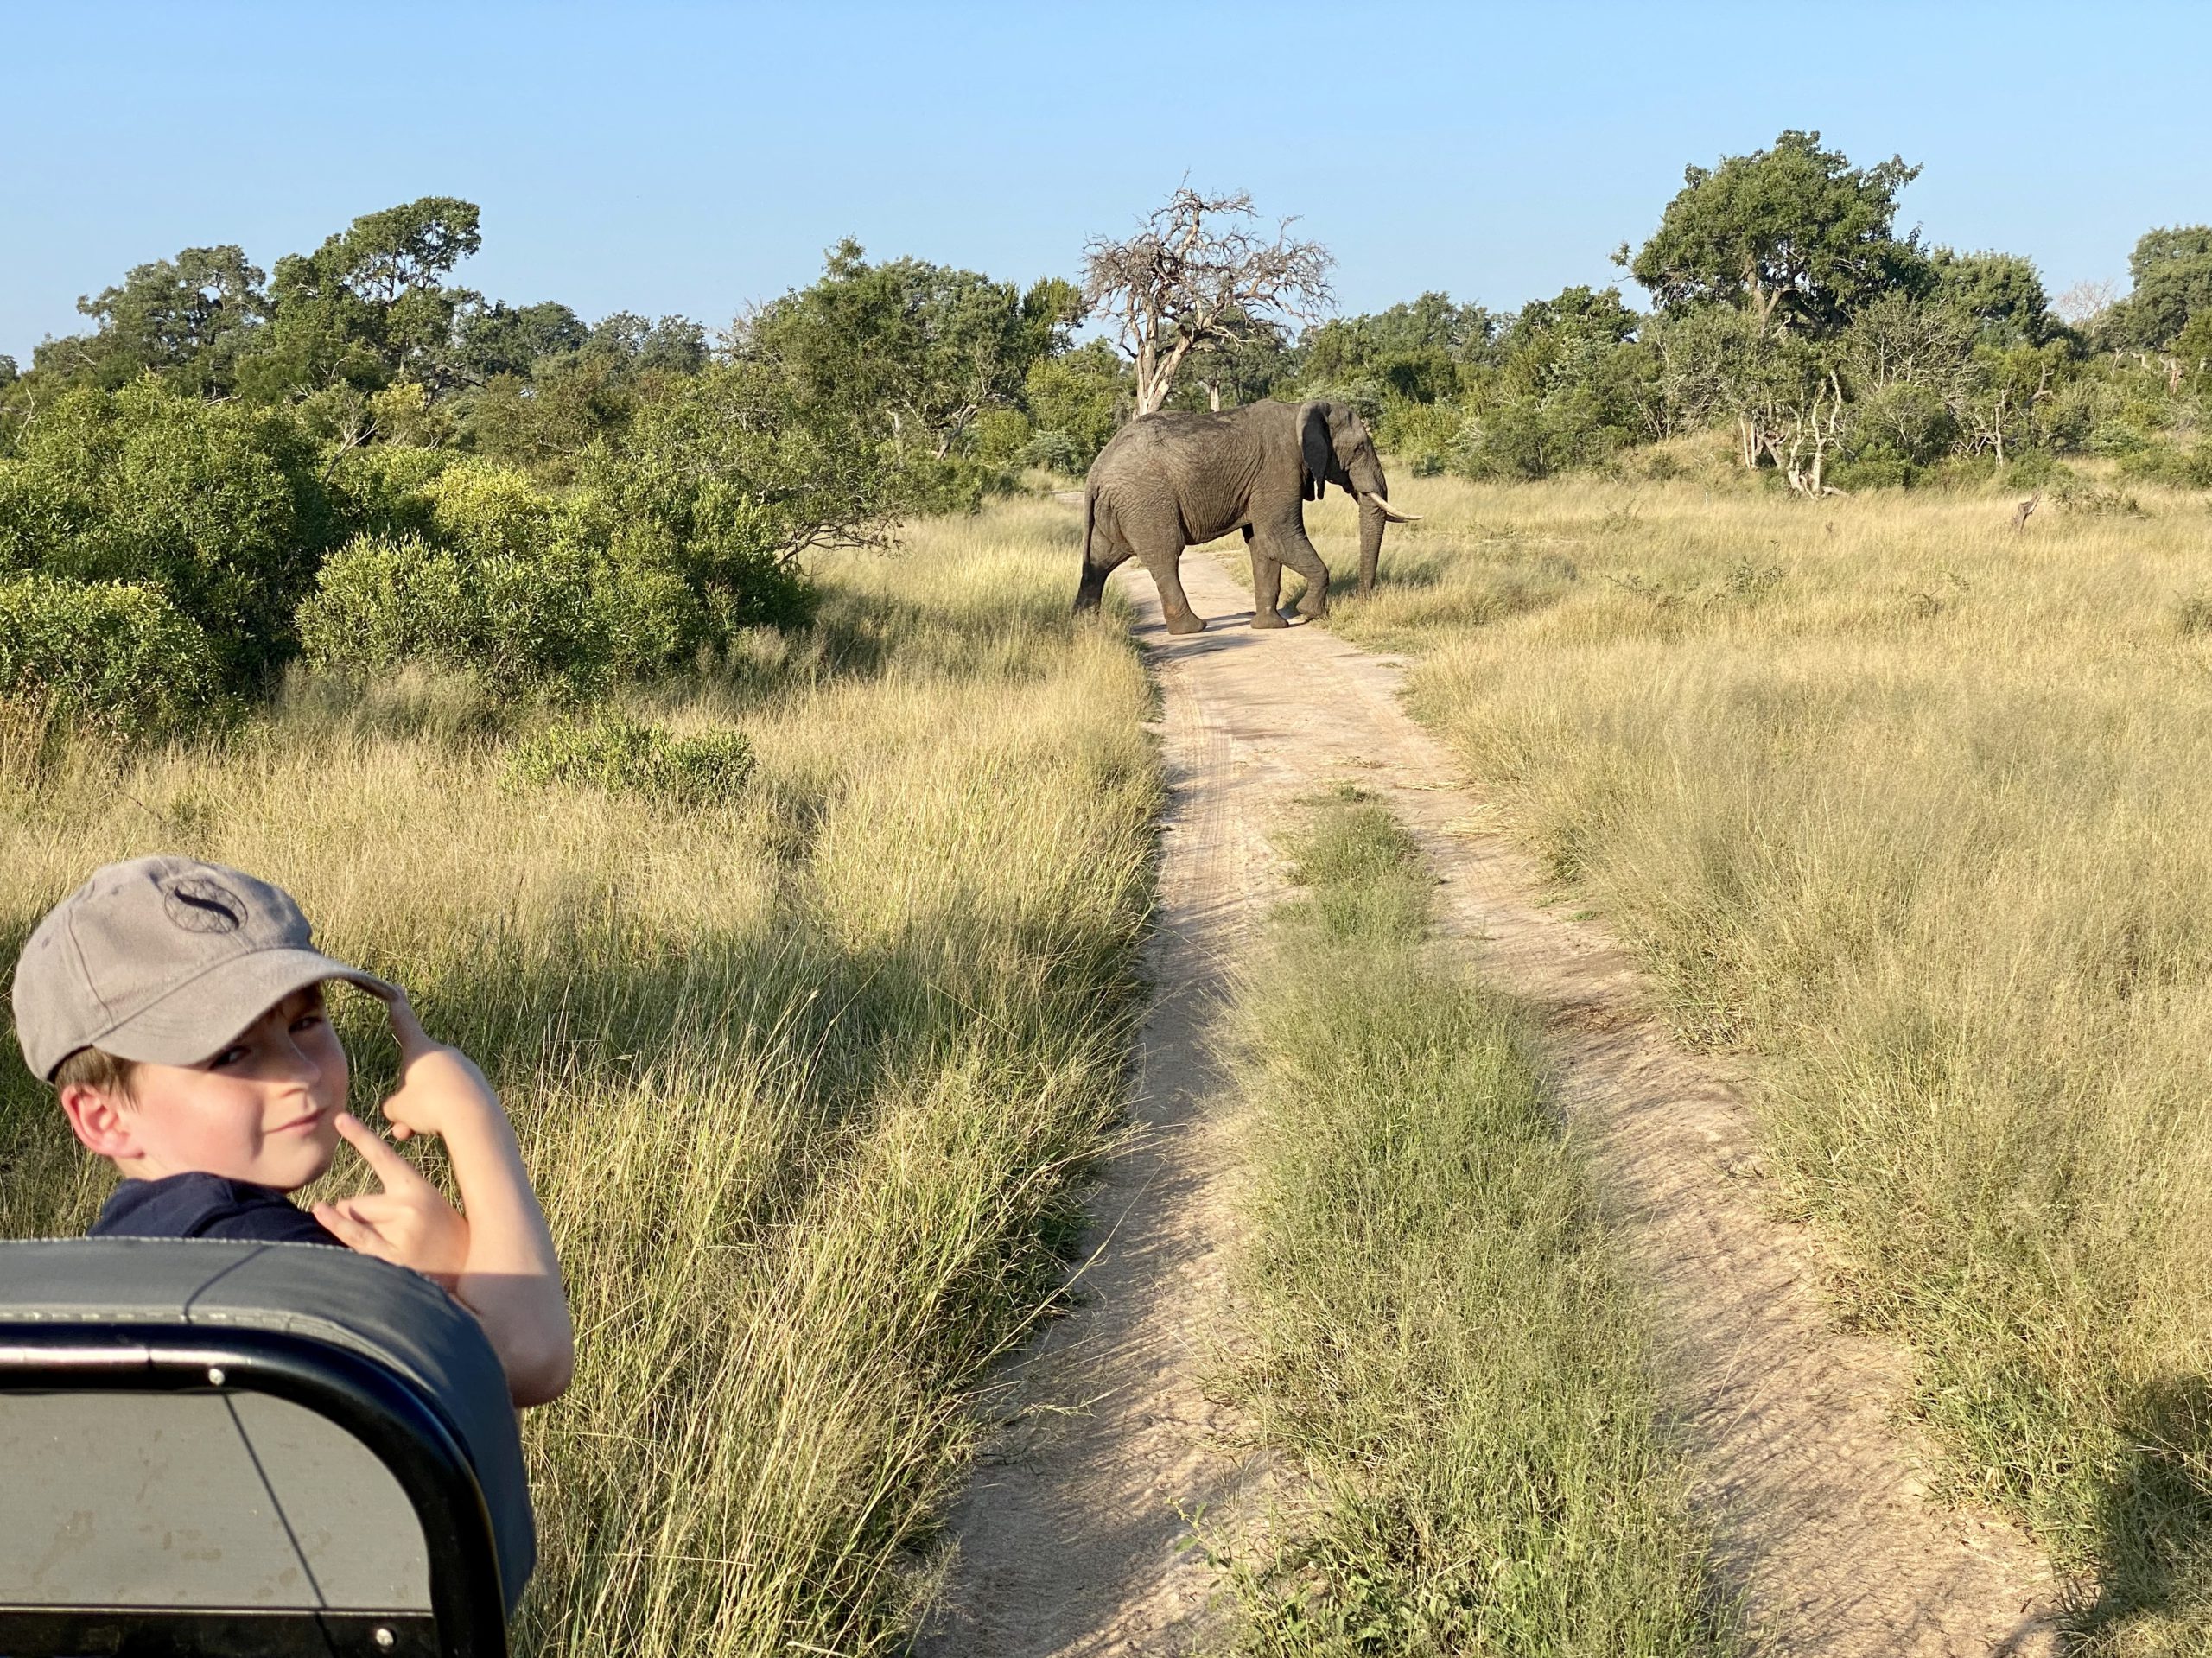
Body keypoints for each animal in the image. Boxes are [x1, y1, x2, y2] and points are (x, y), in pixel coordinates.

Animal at [1065, 400, 1415, 636]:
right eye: (1359, 449)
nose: (1363, 600)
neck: (1299, 410)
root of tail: (1095, 472)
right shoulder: (1279, 468)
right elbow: (1277, 536)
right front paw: (1308, 612)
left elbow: (1262, 545)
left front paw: (1271, 626)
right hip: (1146, 500)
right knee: (1165, 556)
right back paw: (1193, 628)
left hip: (1119, 508)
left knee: (1099, 562)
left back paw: (1086, 627)